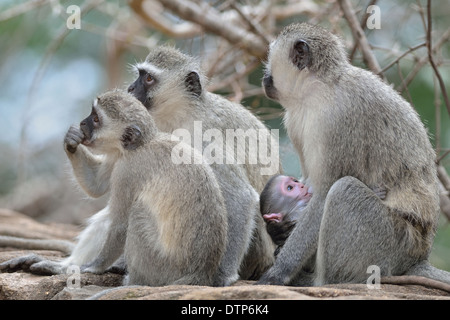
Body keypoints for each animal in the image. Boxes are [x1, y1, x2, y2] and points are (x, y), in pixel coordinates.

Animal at [63, 89, 229, 284]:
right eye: (92, 114)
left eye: (96, 119)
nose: (83, 123)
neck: (143, 144)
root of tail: (200, 274)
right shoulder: (119, 155)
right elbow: (96, 185)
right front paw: (71, 140)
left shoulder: (127, 171)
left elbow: (120, 225)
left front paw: (94, 266)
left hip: (161, 267)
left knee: (138, 212)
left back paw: (133, 281)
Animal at [256, 23, 450, 286]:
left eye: (269, 58)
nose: (264, 77)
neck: (320, 90)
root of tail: (418, 257)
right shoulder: (294, 121)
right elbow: (311, 183)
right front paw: (278, 232)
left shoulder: (338, 118)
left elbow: (324, 193)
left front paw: (279, 272)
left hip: (391, 243)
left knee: (343, 190)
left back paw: (322, 281)